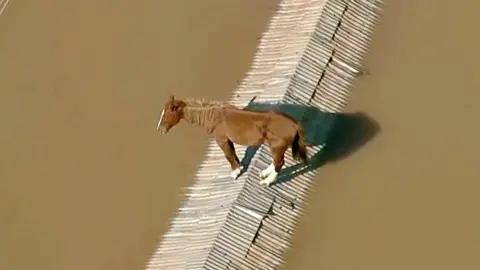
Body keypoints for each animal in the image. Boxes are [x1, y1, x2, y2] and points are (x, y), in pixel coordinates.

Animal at [156, 95, 310, 186]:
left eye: (167, 114)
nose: (160, 130)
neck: (214, 116)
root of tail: (294, 124)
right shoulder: (227, 140)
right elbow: (233, 154)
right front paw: (240, 168)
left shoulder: (221, 140)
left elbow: (228, 155)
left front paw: (235, 173)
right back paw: (264, 173)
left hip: (277, 147)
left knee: (279, 163)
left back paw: (267, 181)